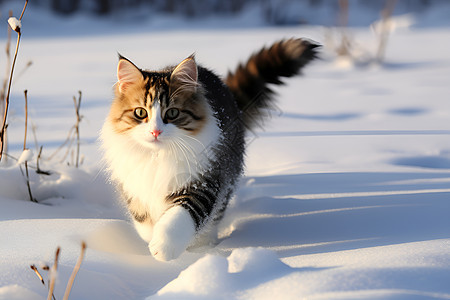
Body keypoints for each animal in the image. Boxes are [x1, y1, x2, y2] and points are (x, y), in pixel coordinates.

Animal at [101, 38, 320, 262]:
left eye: (172, 113)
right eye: (140, 113)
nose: (155, 131)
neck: (157, 156)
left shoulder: (203, 182)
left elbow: (179, 217)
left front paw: (163, 247)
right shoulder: (133, 185)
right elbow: (142, 219)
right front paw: (151, 235)